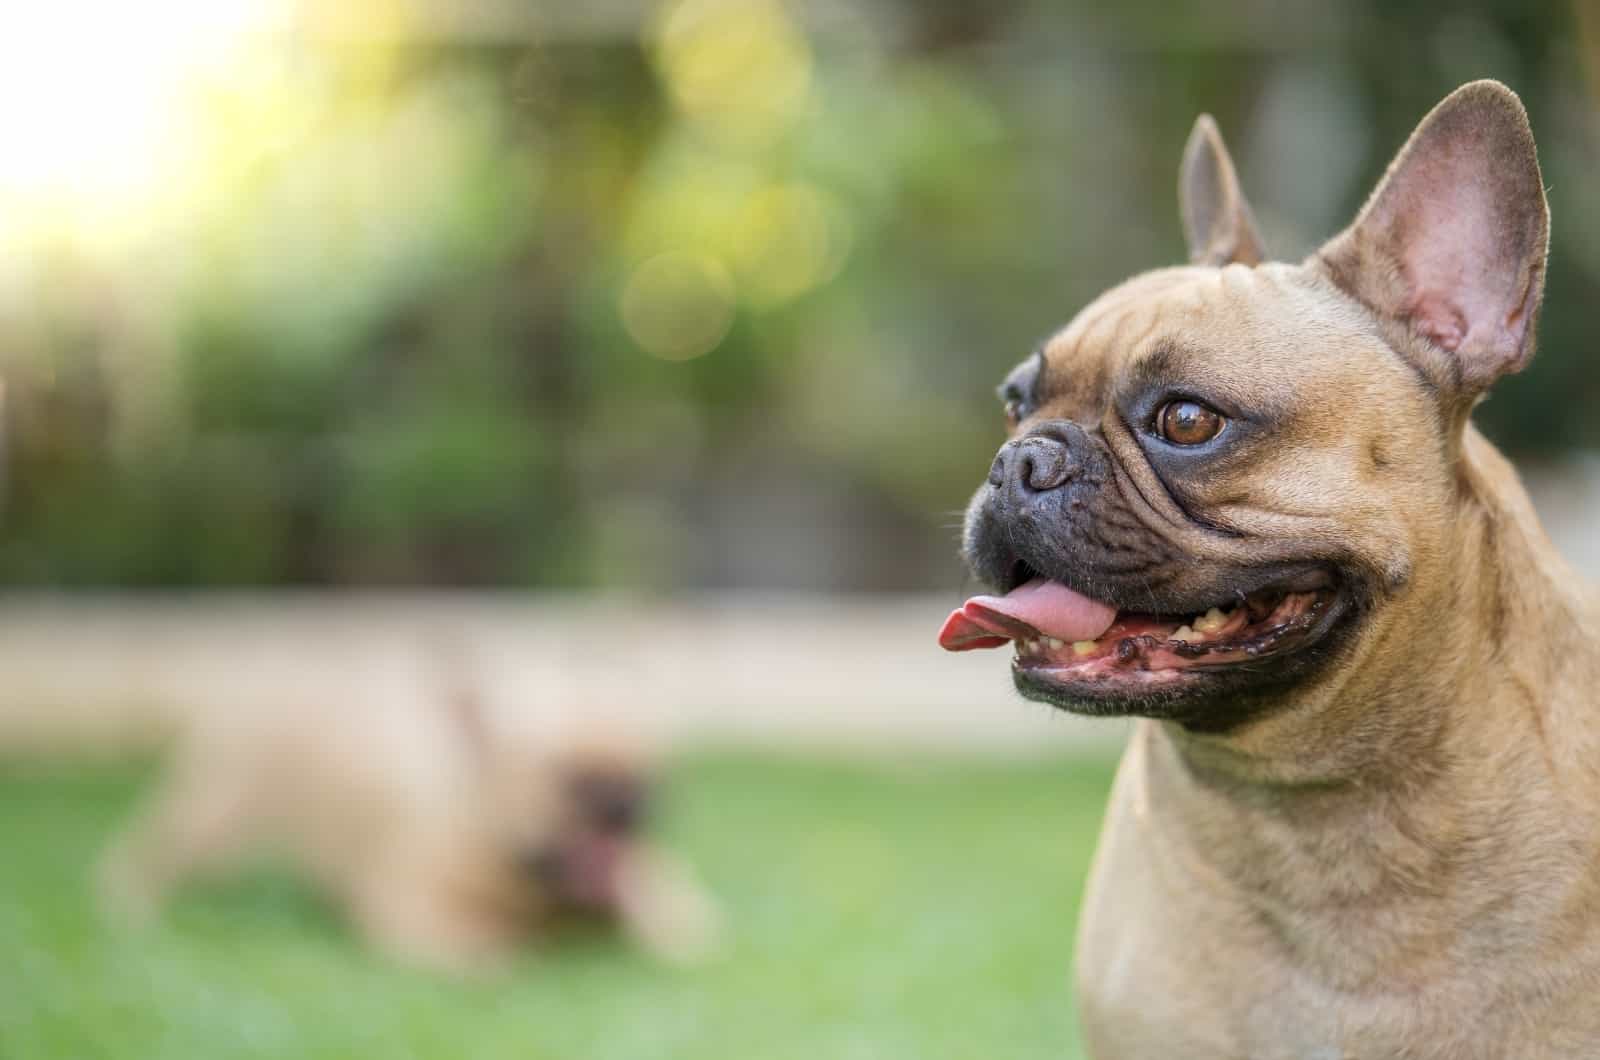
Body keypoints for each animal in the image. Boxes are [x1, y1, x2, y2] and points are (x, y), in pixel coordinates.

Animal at [98, 643, 720, 973]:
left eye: (657, 772)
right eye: (563, 778)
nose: (626, 802)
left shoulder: (658, 877)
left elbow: (675, 916)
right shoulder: (413, 907)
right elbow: (493, 940)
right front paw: (521, 945)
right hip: (215, 814)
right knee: (149, 855)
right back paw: (128, 910)